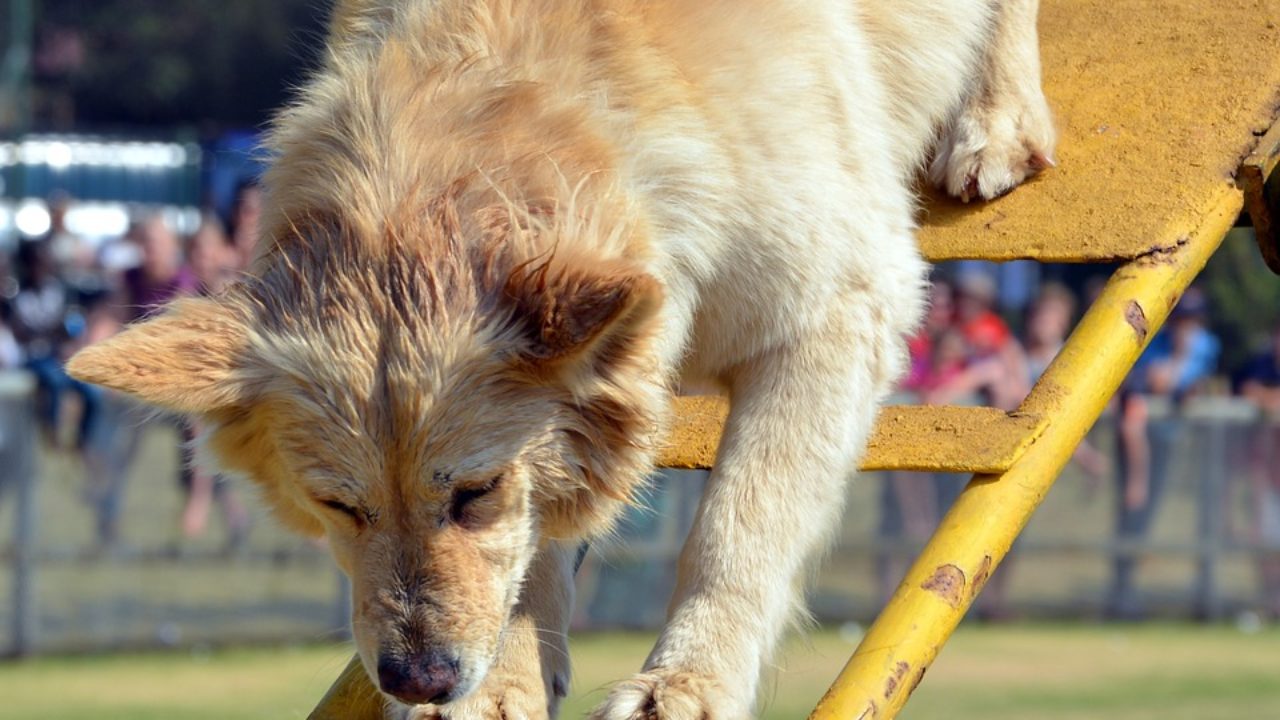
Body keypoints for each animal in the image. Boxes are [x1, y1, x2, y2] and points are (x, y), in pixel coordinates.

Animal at [67, 2, 1049, 712]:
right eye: (337, 506)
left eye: (473, 493)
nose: (419, 682)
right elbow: (539, 542)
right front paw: (509, 680)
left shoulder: (837, 313)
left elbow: (739, 527)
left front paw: (688, 685)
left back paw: (997, 117)